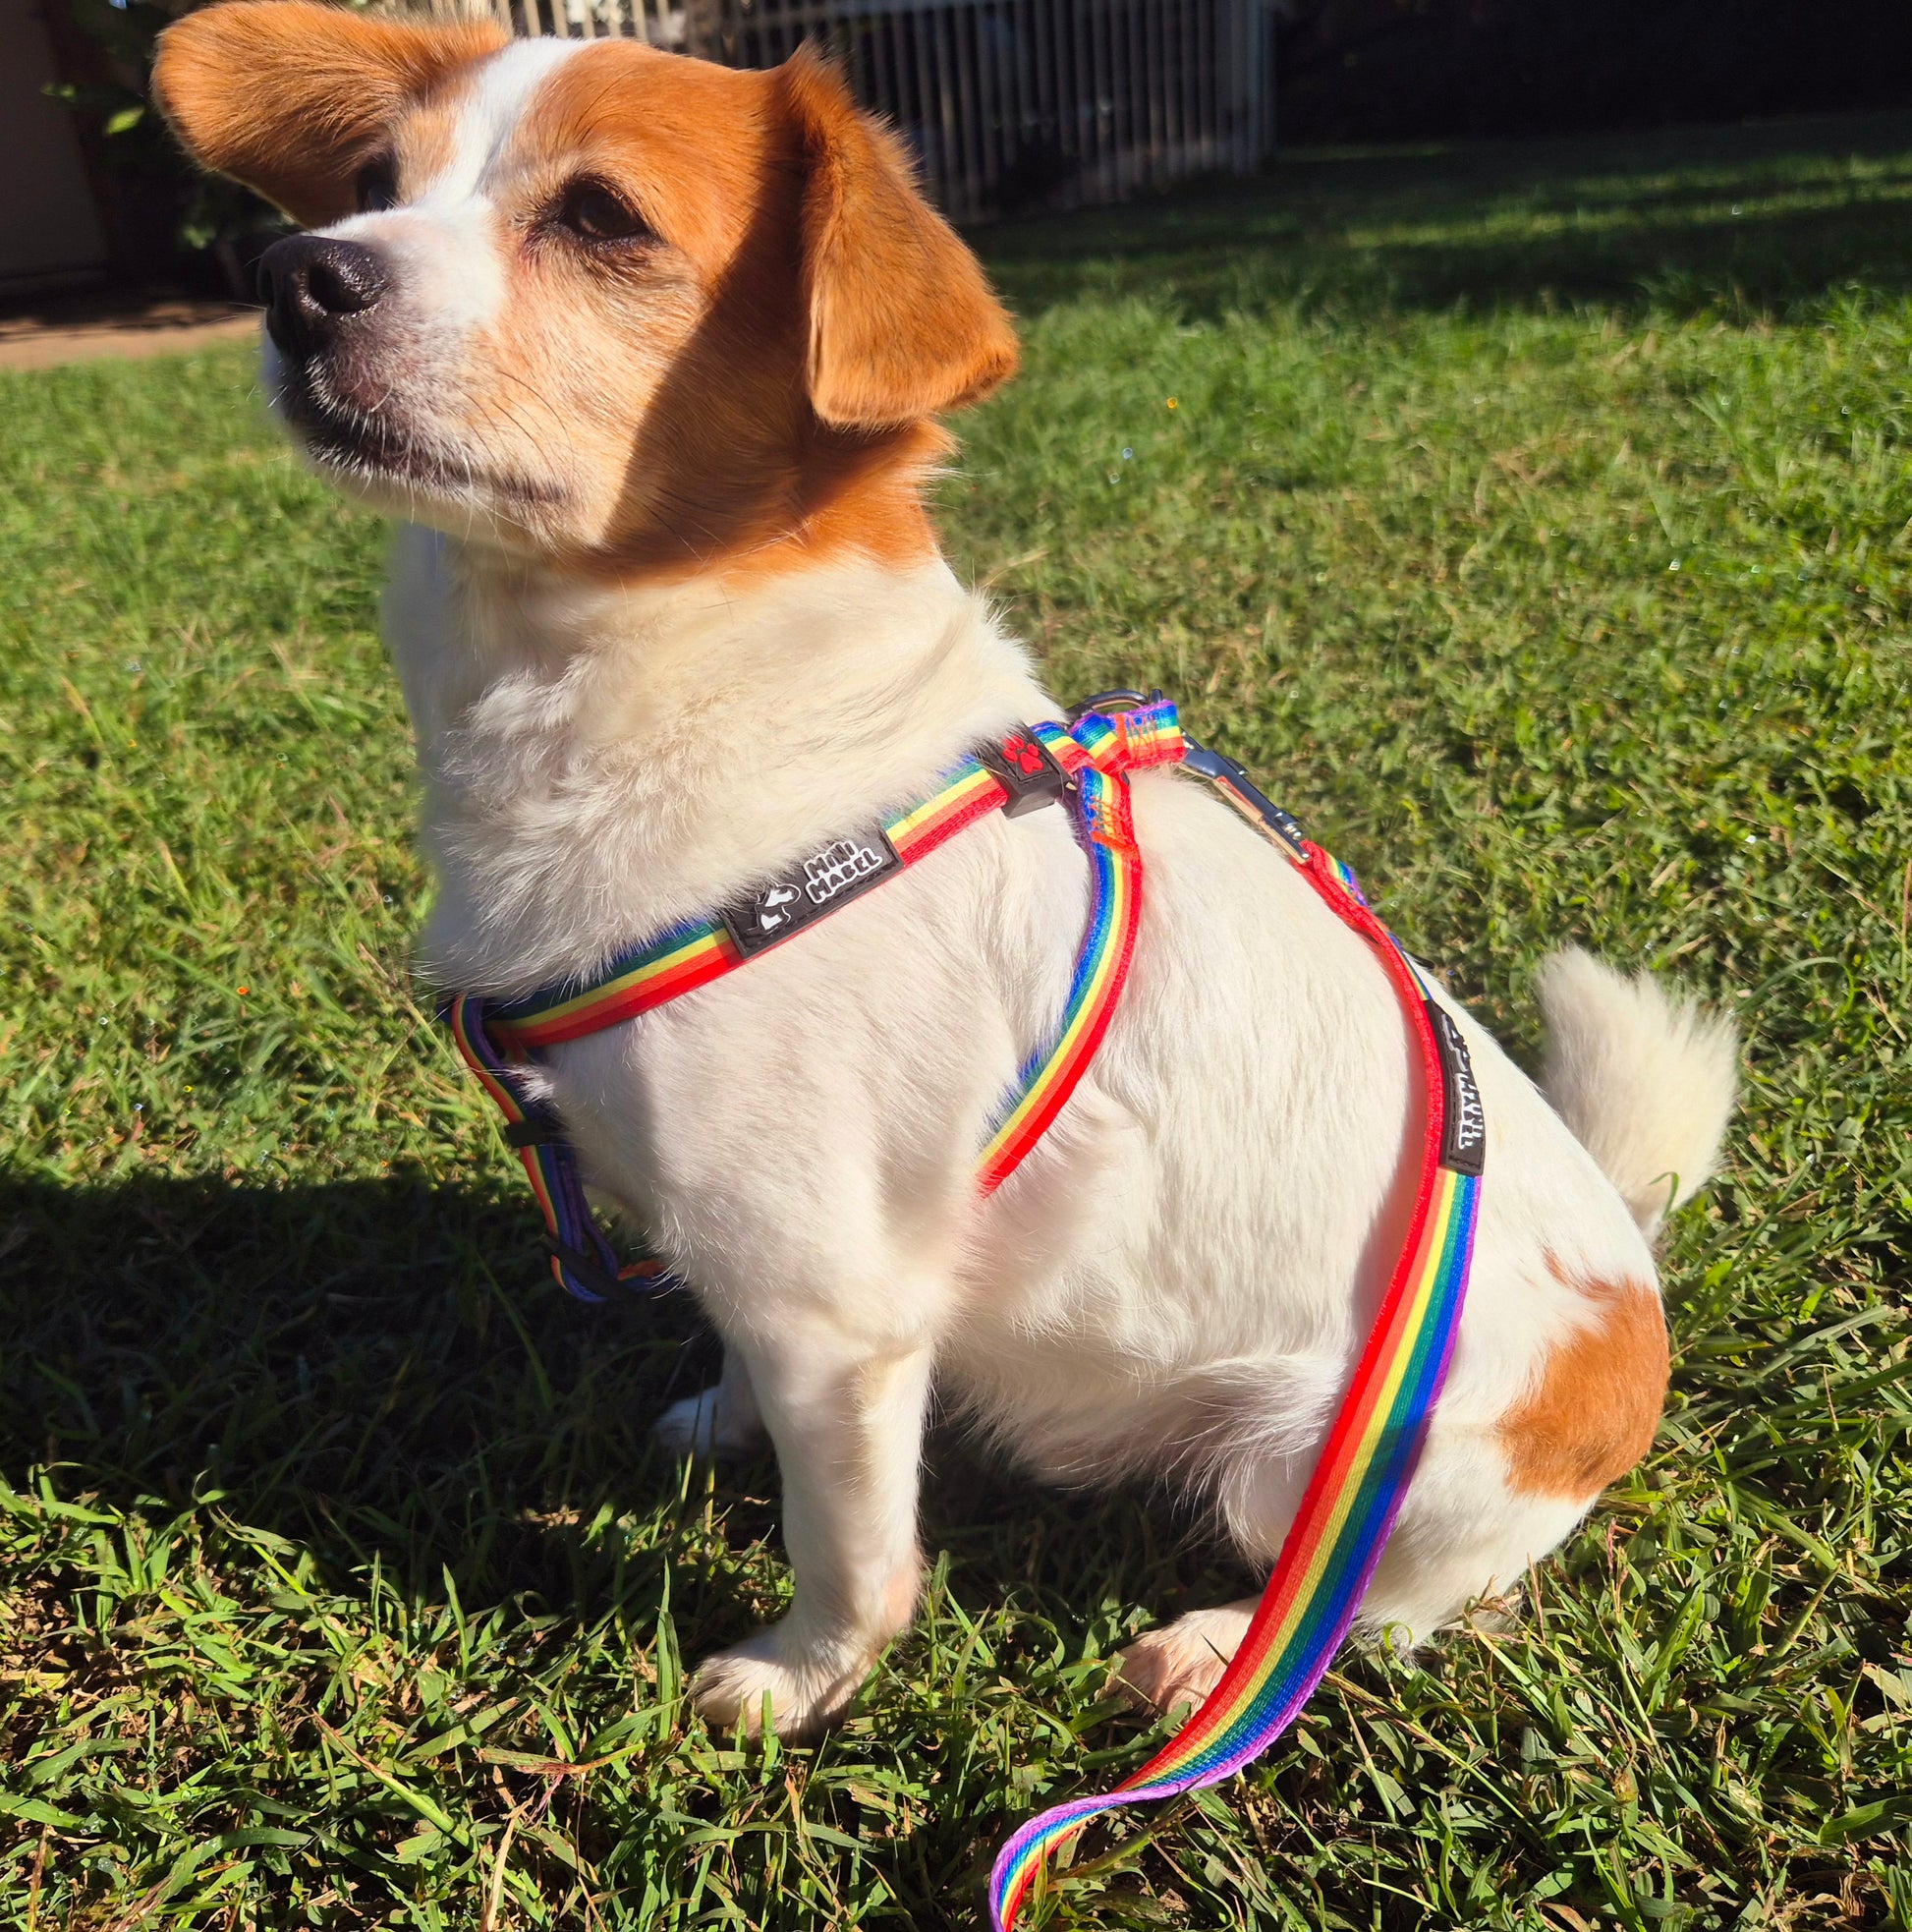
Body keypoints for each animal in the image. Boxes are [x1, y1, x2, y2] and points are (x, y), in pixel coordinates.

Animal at [149, 0, 1738, 1746]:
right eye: (375, 181)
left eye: (601, 218)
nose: (299, 272)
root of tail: (1631, 1289)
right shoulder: (752, 1257)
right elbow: (744, 1375)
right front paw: (716, 1419)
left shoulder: (834, 1307)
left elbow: (849, 1542)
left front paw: (799, 1675)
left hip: (1324, 1466)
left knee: (1402, 1604)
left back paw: (1214, 1645)